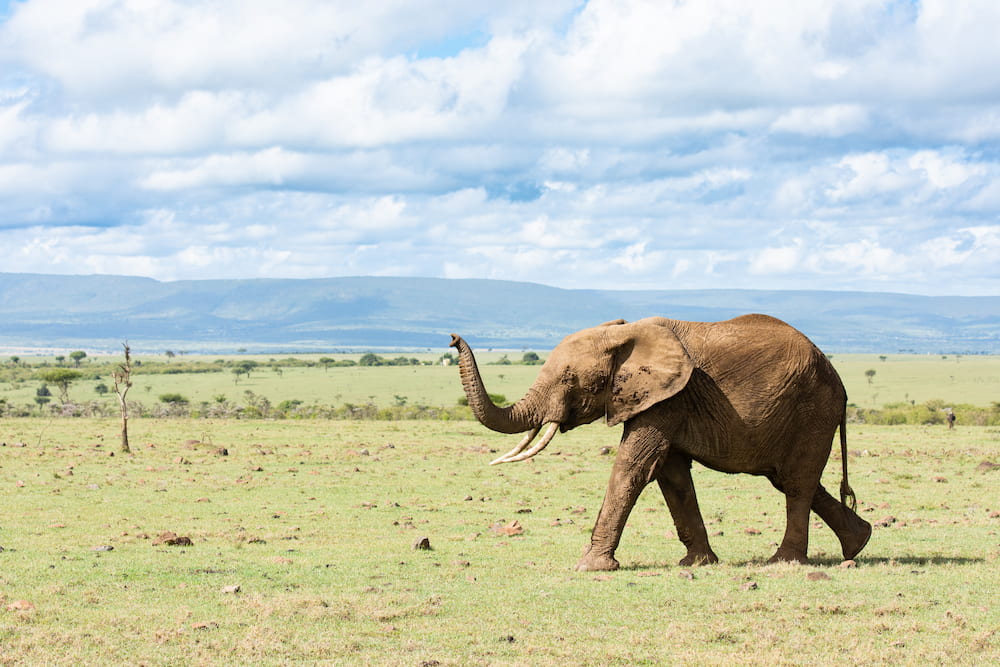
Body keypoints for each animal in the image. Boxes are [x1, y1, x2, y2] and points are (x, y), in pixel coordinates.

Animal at [450, 314, 872, 571]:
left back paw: (783, 563)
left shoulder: (668, 398)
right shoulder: (662, 400)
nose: (452, 337)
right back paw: (859, 543)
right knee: (789, 479)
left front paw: (591, 567)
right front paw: (698, 564)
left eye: (570, 379)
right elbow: (672, 475)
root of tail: (839, 379)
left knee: (796, 483)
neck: (624, 333)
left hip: (813, 409)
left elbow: (634, 467)